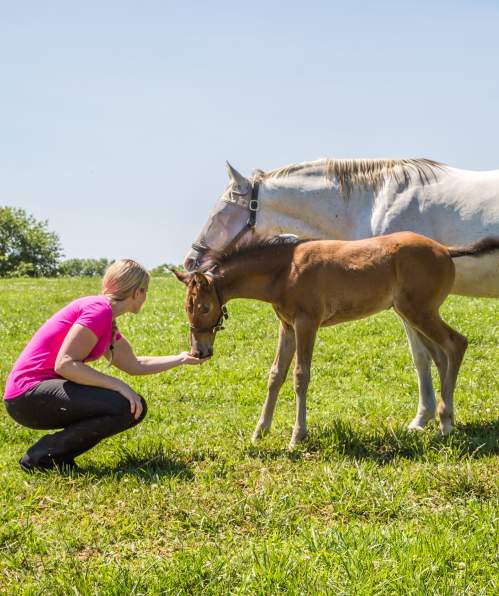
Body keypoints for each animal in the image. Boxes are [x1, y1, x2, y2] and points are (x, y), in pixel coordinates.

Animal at [173, 232, 499, 448]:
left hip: (419, 311)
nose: (200, 351)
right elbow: (275, 375)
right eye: (187, 307)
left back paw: (445, 422)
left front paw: (297, 435)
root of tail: (444, 249)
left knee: (456, 344)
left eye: (204, 307)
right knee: (441, 354)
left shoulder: (307, 323)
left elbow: (300, 376)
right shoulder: (286, 326)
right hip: (413, 313)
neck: (284, 270)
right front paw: (260, 431)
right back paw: (444, 420)